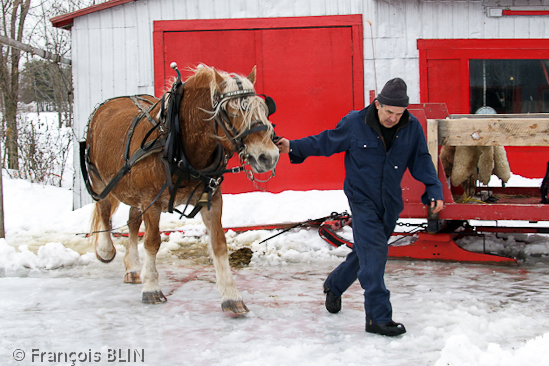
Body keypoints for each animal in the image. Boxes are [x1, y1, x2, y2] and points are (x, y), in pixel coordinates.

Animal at [82, 64, 278, 314]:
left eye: (262, 109)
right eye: (232, 112)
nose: (268, 157)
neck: (179, 146)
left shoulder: (211, 199)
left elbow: (219, 244)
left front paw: (231, 296)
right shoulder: (152, 201)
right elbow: (152, 242)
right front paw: (151, 288)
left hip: (135, 193)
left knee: (133, 223)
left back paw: (134, 267)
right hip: (100, 179)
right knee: (104, 209)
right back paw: (106, 250)